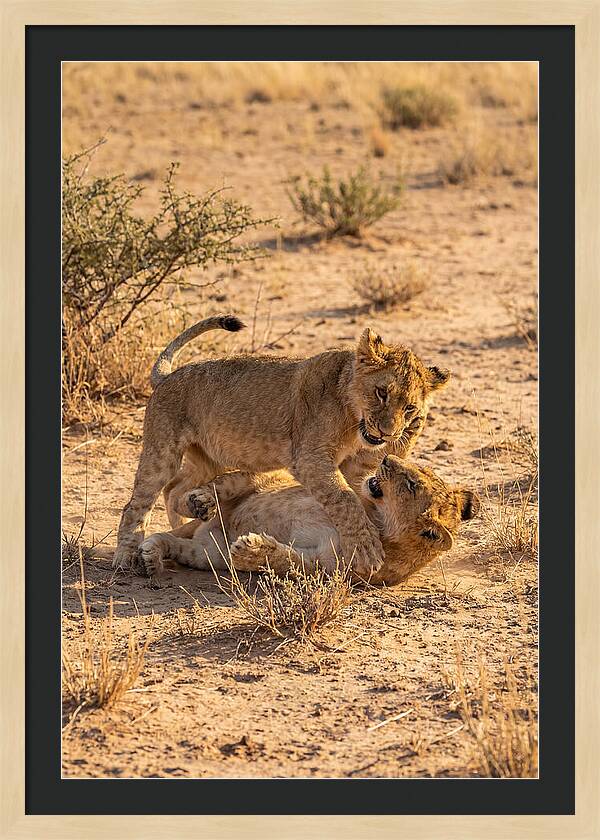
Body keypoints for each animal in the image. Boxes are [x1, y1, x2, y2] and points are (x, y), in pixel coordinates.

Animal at [113, 315, 449, 576]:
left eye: (409, 408)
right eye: (381, 392)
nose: (388, 432)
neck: (353, 419)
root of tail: (168, 376)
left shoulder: (356, 466)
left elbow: (359, 489)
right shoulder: (311, 459)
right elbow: (345, 500)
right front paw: (367, 548)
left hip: (209, 458)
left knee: (175, 489)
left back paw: (192, 515)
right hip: (162, 451)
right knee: (137, 504)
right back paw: (126, 556)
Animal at [139, 455, 479, 586]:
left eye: (411, 484)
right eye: (416, 470)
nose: (385, 458)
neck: (376, 519)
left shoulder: (324, 568)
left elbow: (287, 560)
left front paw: (251, 549)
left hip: (207, 554)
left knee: (174, 542)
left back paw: (151, 556)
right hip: (260, 481)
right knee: (228, 483)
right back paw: (199, 501)